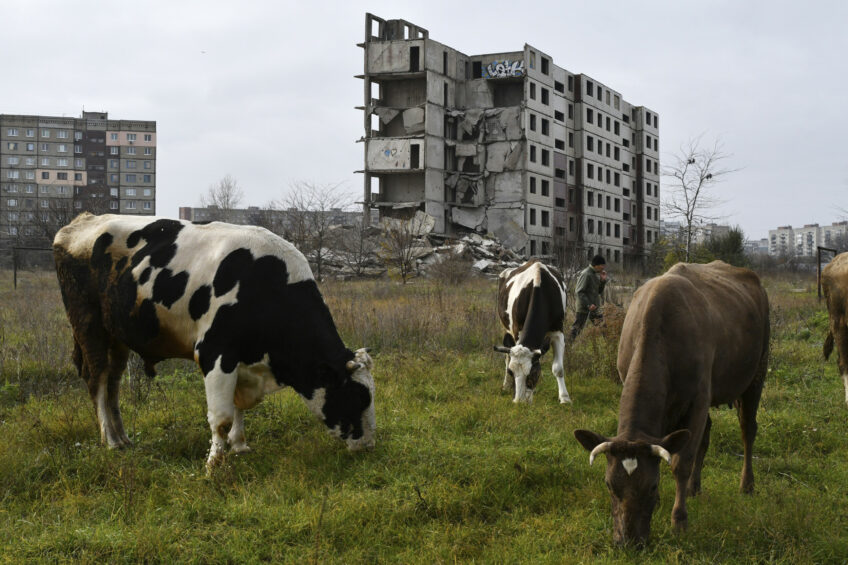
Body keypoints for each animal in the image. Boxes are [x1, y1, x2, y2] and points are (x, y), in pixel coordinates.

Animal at [50, 212, 374, 468]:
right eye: (358, 396)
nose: (369, 446)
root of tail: (82, 221)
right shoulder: (215, 353)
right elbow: (222, 417)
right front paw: (213, 464)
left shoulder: (242, 361)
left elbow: (238, 407)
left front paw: (239, 445)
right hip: (88, 326)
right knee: (98, 379)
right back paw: (110, 441)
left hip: (117, 336)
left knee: (113, 383)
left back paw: (123, 437)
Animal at [490, 258, 568, 404]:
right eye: (511, 372)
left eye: (532, 373)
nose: (519, 402)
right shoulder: (517, 331)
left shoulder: (558, 331)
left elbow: (558, 368)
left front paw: (565, 398)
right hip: (506, 327)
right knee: (507, 355)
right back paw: (506, 386)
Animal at [576, 262, 768, 544]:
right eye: (609, 484)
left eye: (653, 485)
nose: (628, 542)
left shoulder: (698, 399)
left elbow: (681, 461)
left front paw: (679, 520)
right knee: (706, 435)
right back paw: (694, 488)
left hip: (757, 372)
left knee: (747, 429)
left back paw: (747, 485)